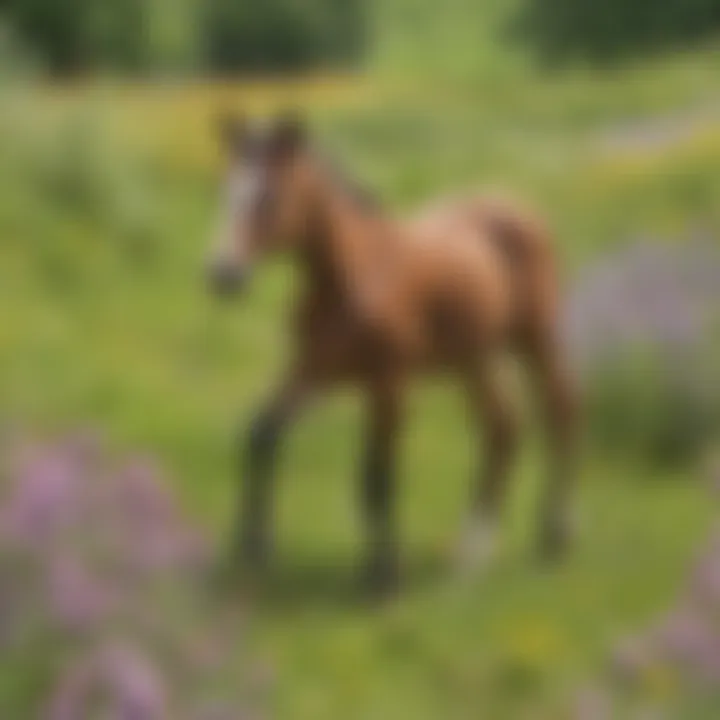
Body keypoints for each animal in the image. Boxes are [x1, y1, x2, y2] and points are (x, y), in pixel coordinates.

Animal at [205, 114, 576, 596]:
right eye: (225, 190)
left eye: (269, 196)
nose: (222, 275)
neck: (353, 280)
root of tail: (517, 205)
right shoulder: (312, 372)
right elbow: (261, 434)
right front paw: (253, 547)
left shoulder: (389, 385)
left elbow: (377, 476)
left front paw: (381, 576)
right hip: (472, 359)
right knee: (502, 427)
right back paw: (472, 553)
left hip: (535, 339)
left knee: (561, 410)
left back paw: (555, 534)